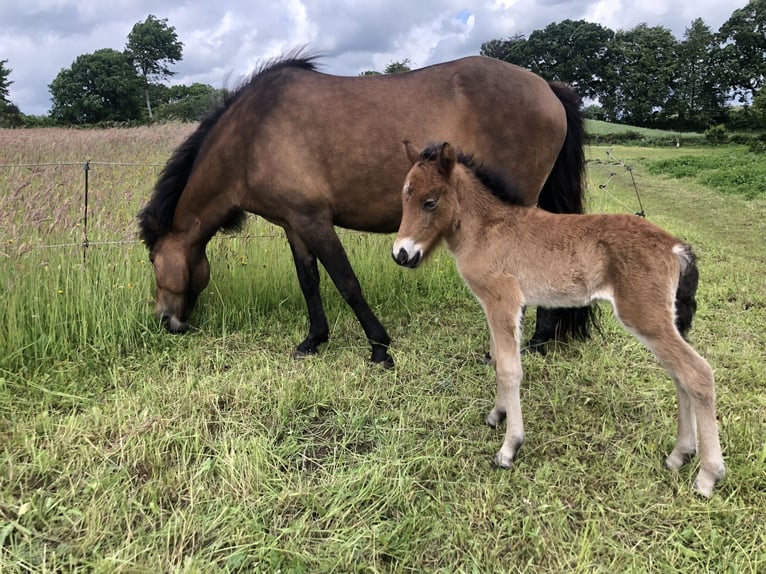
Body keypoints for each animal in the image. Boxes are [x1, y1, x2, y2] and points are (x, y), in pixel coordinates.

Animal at [137, 52, 596, 367]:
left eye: (154, 259)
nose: (165, 321)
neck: (251, 135)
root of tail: (546, 87)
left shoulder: (315, 220)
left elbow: (346, 282)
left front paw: (379, 348)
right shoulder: (293, 224)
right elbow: (309, 282)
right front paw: (313, 341)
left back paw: (524, 345)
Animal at [392, 141, 724, 497]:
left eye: (430, 202)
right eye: (404, 197)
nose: (401, 254)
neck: (487, 230)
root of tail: (675, 246)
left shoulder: (503, 301)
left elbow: (509, 369)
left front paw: (509, 448)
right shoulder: (493, 305)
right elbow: (496, 359)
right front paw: (497, 414)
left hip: (645, 318)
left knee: (698, 373)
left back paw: (707, 475)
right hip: (663, 322)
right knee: (680, 376)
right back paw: (680, 455)